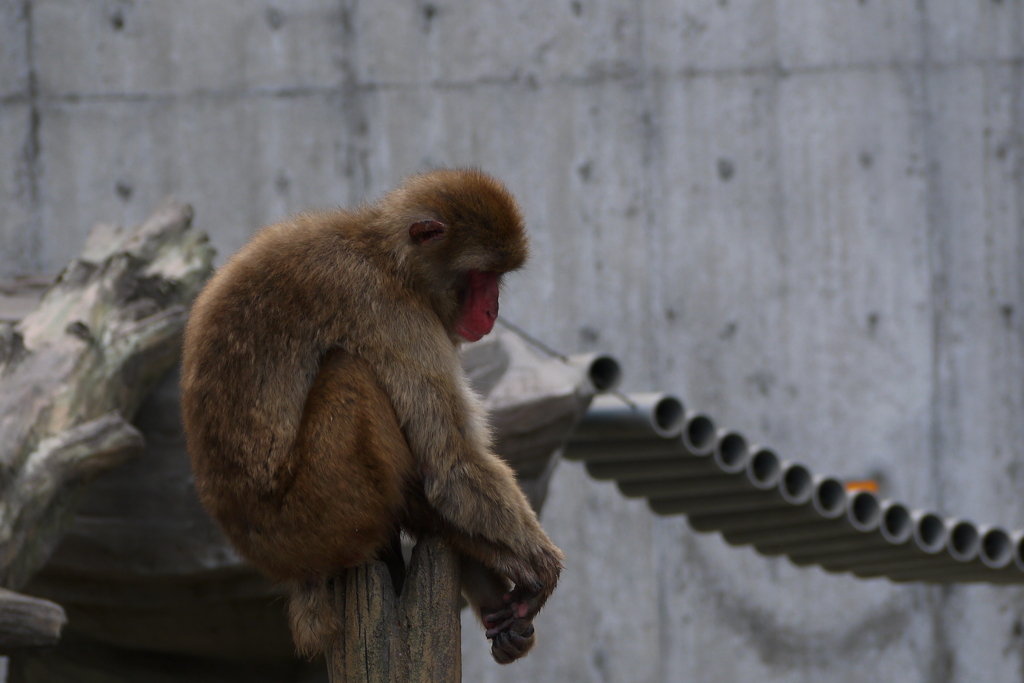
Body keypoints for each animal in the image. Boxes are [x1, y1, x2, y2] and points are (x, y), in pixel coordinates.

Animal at [181, 167, 565, 663]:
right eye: (481, 275)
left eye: (497, 278)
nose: (491, 309)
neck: (387, 257)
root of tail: (280, 564)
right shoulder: (389, 310)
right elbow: (453, 467)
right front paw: (542, 565)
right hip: (322, 510)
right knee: (354, 374)